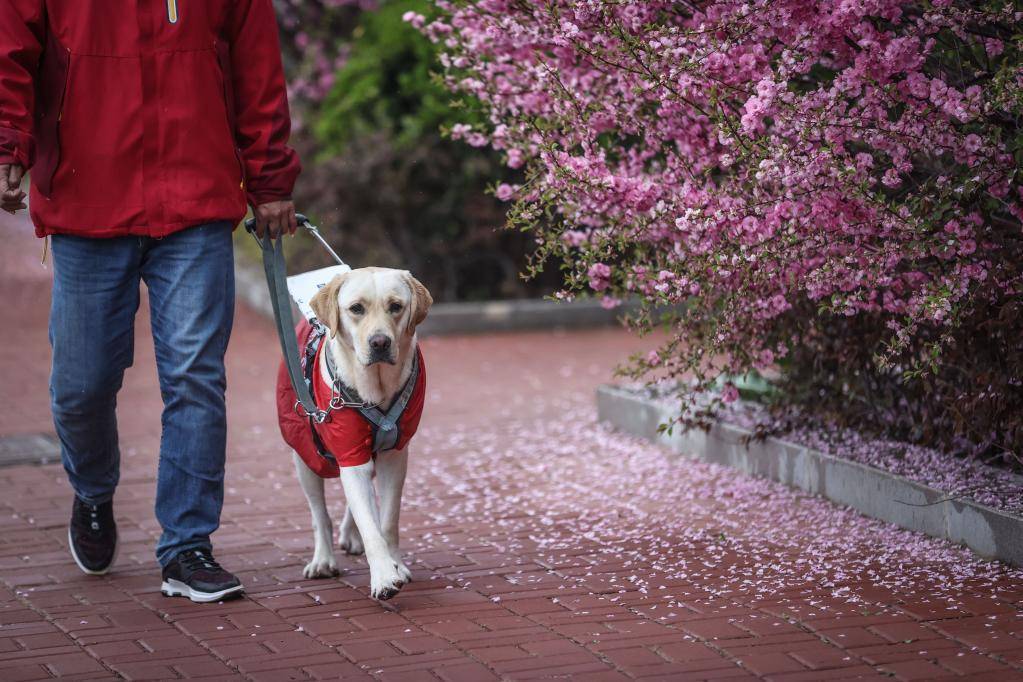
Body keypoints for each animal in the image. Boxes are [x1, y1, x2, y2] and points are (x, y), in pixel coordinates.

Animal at [276, 269, 431, 601]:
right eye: (356, 309)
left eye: (396, 306)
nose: (380, 342)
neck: (375, 390)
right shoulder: (349, 452)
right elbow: (369, 524)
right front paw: (384, 576)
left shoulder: (394, 455)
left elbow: (387, 520)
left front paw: (396, 564)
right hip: (306, 457)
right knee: (320, 515)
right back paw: (323, 560)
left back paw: (351, 536)